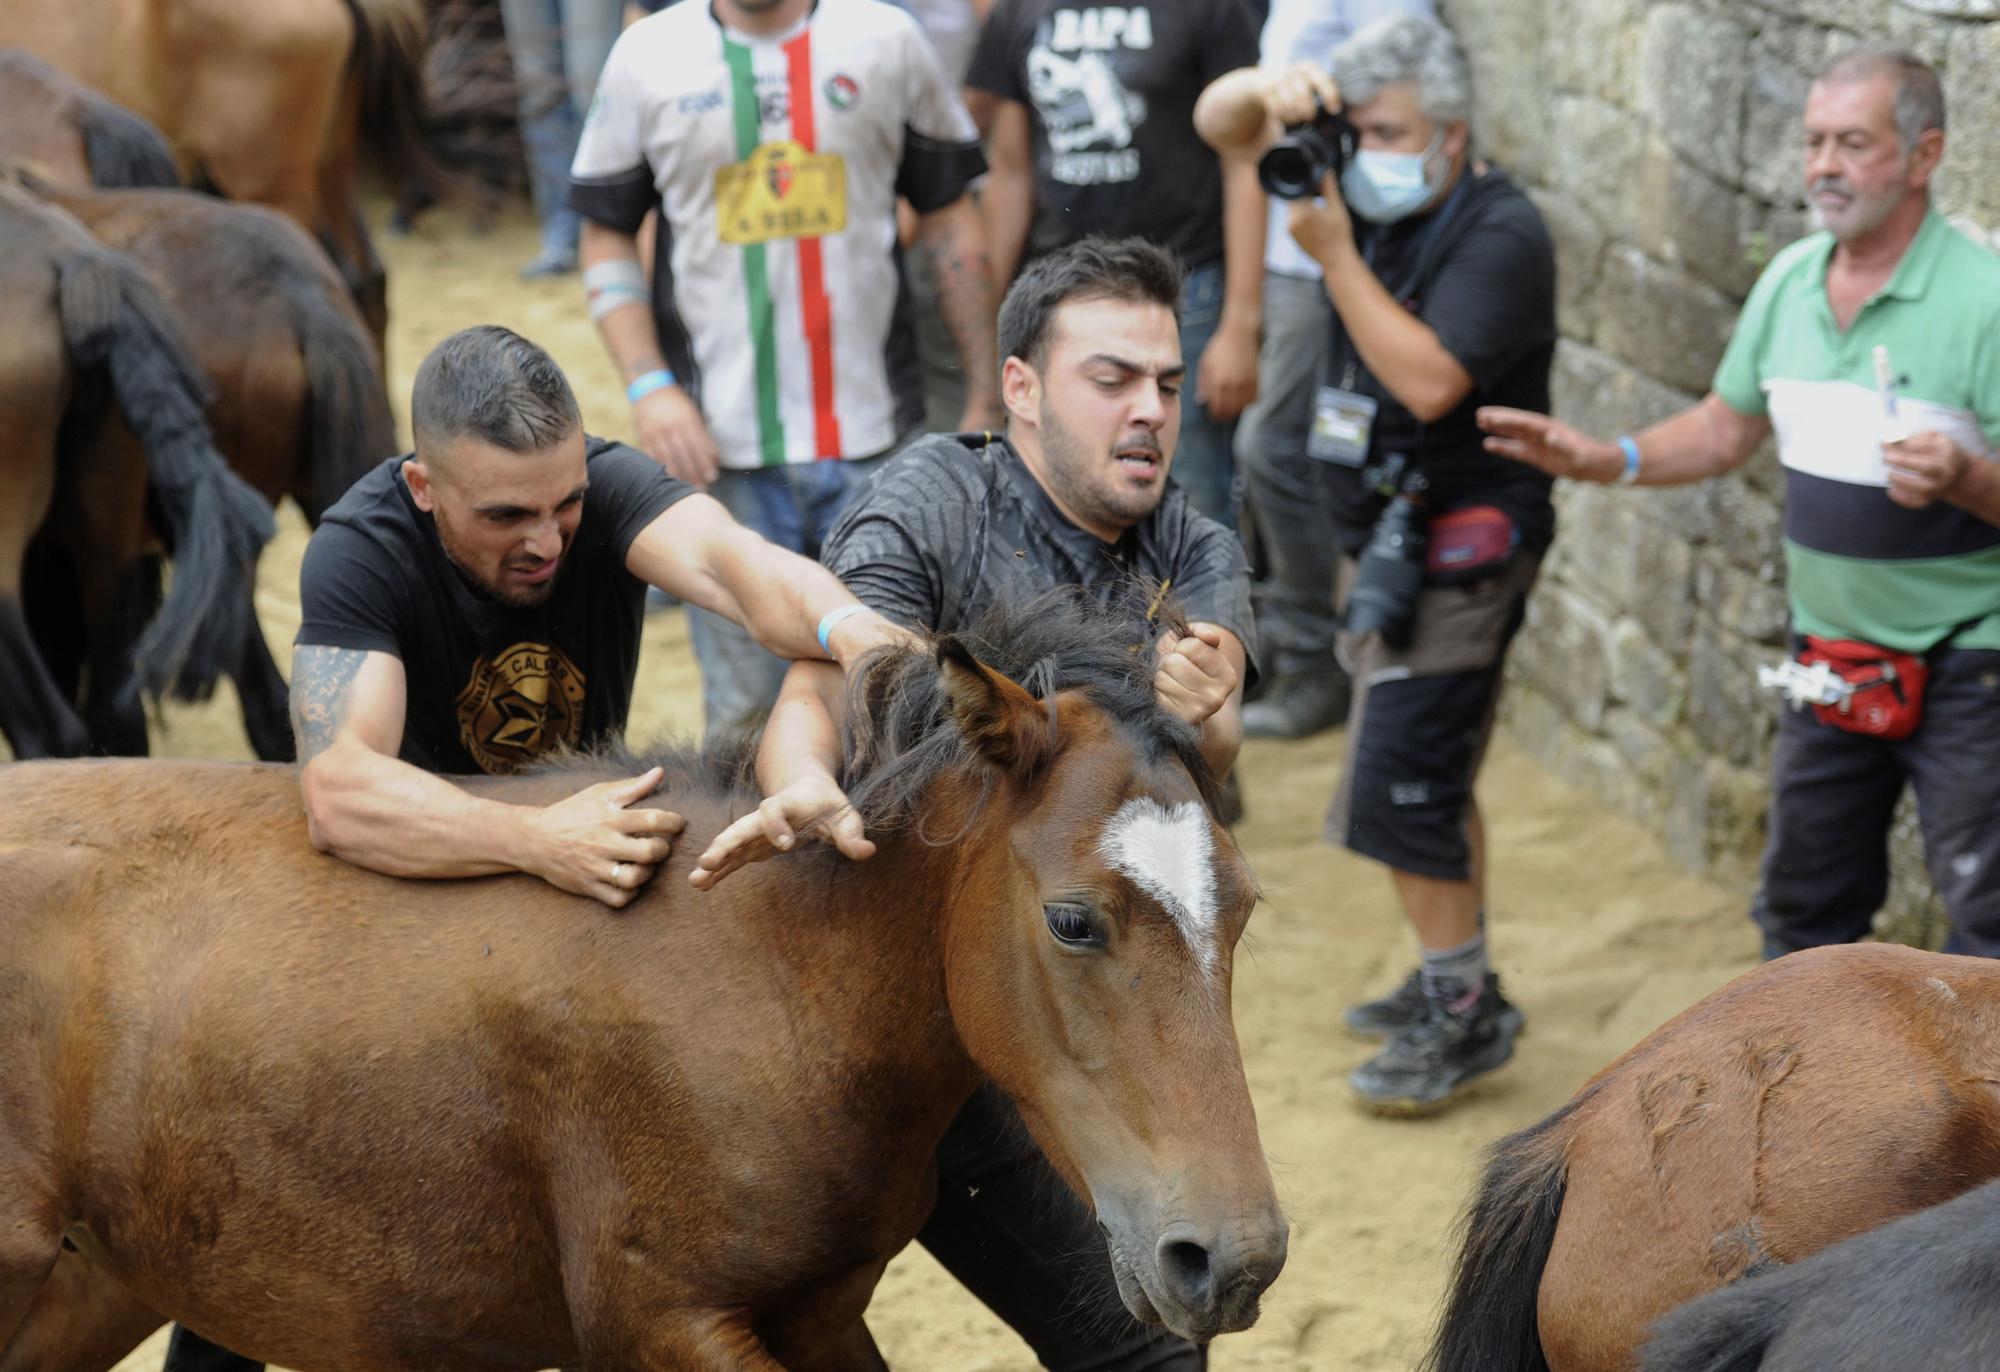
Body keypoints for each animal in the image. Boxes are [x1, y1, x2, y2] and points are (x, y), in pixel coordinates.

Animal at [0, 604, 1288, 1372]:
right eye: (1072, 919)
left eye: (1243, 906)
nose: (1228, 1258)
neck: (772, 982)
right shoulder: (660, 1321)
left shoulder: (821, 1312)